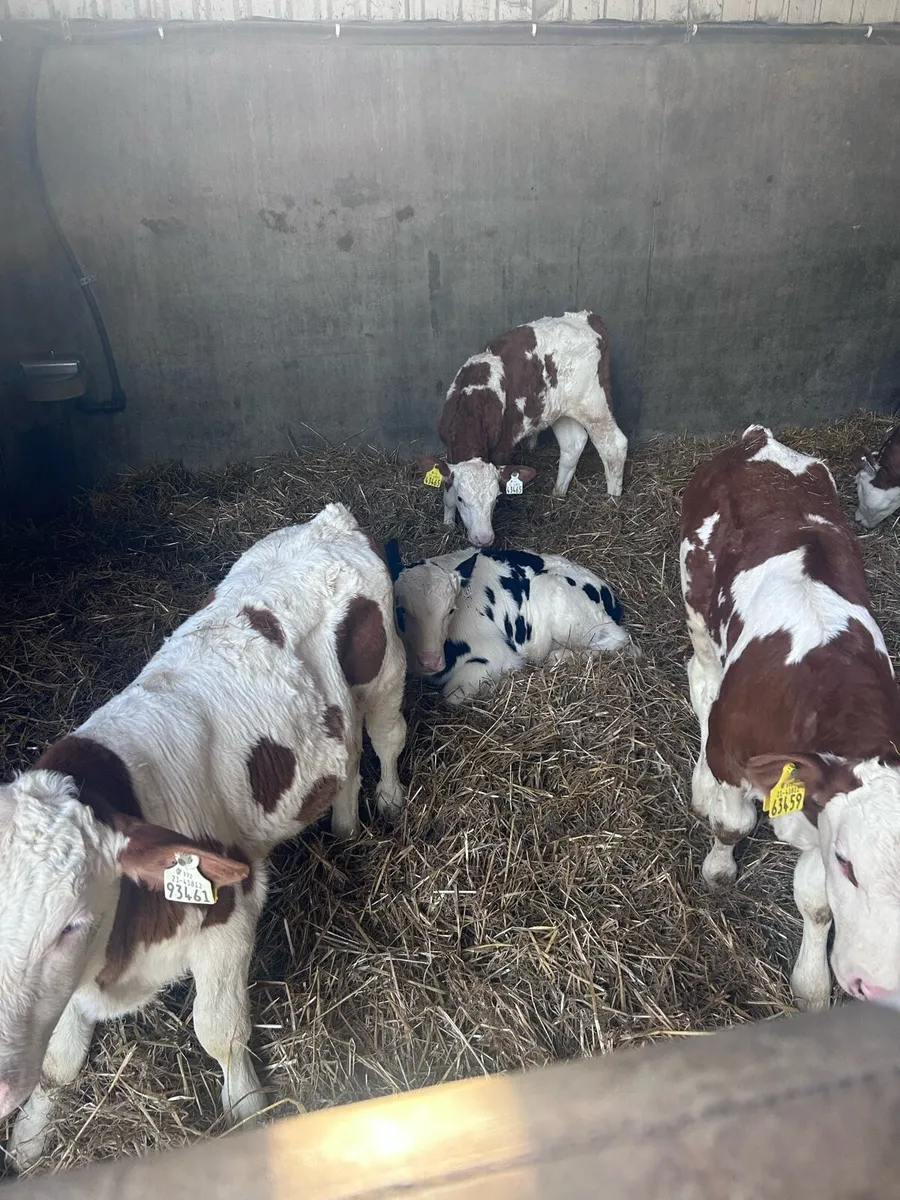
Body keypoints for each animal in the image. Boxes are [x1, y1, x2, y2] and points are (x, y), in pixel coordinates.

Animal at [0, 504, 407, 1169]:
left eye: (71, 924)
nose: (1, 1085)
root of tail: (329, 521)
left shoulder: (230, 915)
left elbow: (221, 1032)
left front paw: (247, 1111)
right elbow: (59, 1063)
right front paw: (30, 1140)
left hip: (384, 675)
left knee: (387, 737)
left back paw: (391, 802)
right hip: (331, 721)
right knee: (345, 761)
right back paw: (346, 827)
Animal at [386, 540, 636, 705]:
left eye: (451, 610)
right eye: (400, 610)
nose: (431, 661)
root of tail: (608, 593)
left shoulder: (496, 655)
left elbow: (451, 696)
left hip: (557, 598)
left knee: (624, 643)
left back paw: (559, 656)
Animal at [416, 310, 628, 548]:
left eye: (496, 499)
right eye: (462, 499)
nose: (484, 538)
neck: (474, 396)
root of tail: (587, 318)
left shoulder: (502, 446)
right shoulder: (449, 447)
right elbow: (447, 492)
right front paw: (448, 525)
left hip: (594, 405)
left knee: (614, 446)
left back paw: (612, 500)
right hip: (560, 409)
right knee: (573, 444)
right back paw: (557, 493)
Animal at [680, 424, 900, 1012]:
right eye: (848, 862)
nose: (882, 989)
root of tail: (760, 440)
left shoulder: (819, 803)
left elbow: (817, 903)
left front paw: (811, 985)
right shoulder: (732, 754)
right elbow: (731, 825)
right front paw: (718, 870)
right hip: (696, 606)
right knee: (702, 679)